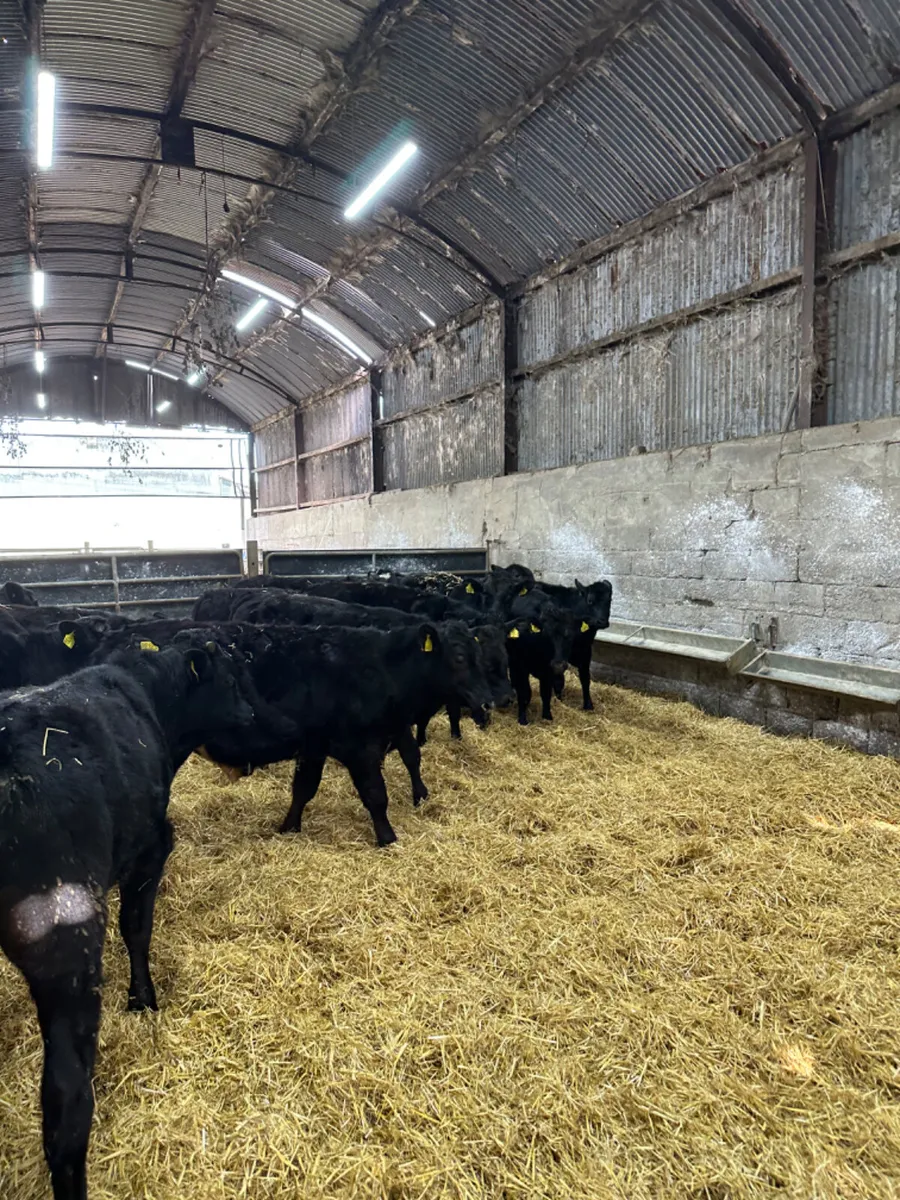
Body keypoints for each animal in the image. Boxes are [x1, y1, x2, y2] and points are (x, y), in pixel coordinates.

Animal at [0, 637, 259, 1200]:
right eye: (231, 682)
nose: (255, 715)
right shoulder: (151, 848)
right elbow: (136, 930)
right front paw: (144, 1000)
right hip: (63, 938)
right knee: (66, 1107)